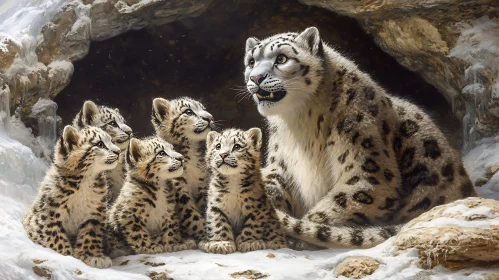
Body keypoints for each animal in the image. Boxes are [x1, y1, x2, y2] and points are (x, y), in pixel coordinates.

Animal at [244, 27, 478, 248]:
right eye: (251, 61)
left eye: (281, 58)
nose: (255, 78)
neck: (299, 122)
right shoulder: (283, 163)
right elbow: (272, 180)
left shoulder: (367, 164)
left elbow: (338, 205)